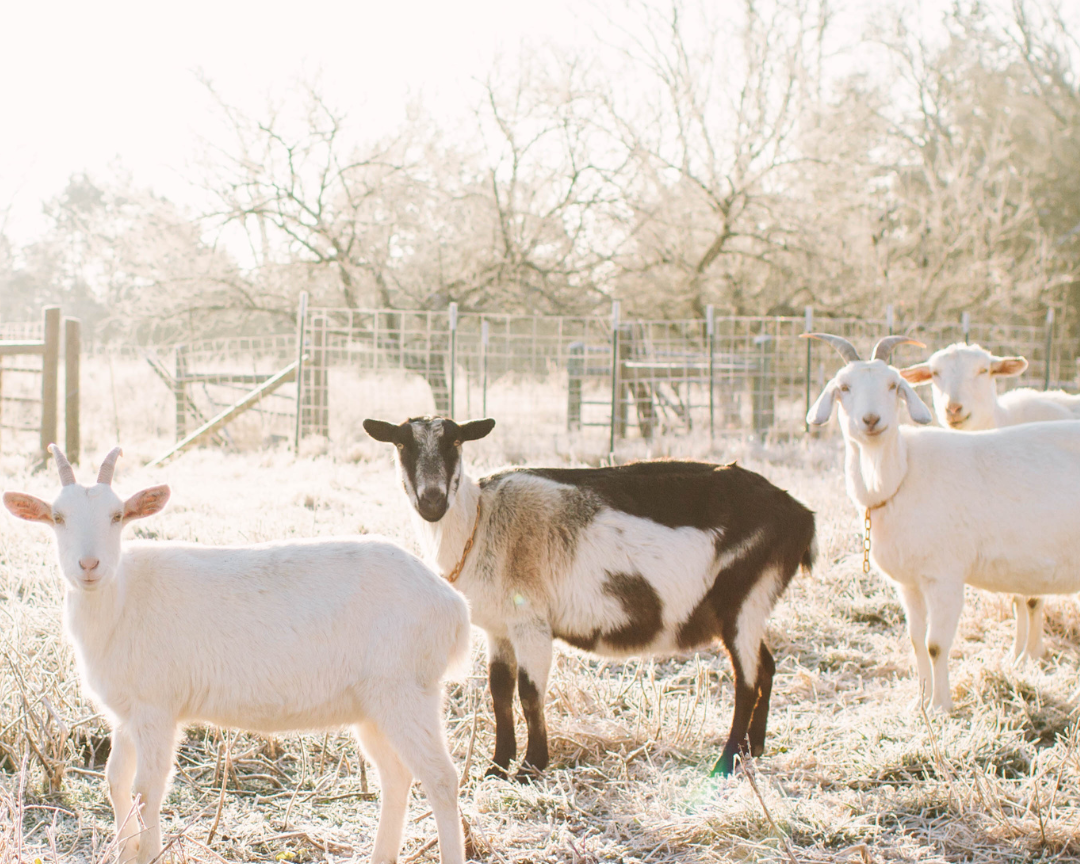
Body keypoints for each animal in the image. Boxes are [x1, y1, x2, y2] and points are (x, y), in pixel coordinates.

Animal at [4, 444, 468, 864]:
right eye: (58, 517)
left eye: (117, 516)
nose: (89, 565)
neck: (123, 598)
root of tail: (452, 605)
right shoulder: (126, 712)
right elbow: (116, 782)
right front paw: (125, 852)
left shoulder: (157, 707)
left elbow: (146, 788)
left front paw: (149, 853)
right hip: (372, 705)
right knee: (396, 776)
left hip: (405, 689)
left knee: (441, 778)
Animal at [360, 416, 812, 777]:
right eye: (402, 444)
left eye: (455, 442)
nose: (432, 500)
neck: (481, 520)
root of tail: (799, 515)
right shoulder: (499, 628)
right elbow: (499, 693)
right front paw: (497, 766)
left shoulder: (532, 622)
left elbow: (529, 693)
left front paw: (531, 768)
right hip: (753, 606)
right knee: (767, 666)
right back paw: (755, 749)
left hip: (744, 596)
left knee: (746, 681)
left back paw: (727, 761)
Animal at [898, 341, 1080, 656]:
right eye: (935, 373)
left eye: (984, 370)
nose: (953, 408)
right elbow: (1018, 596)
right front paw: (1017, 653)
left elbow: (1033, 598)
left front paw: (1032, 655)